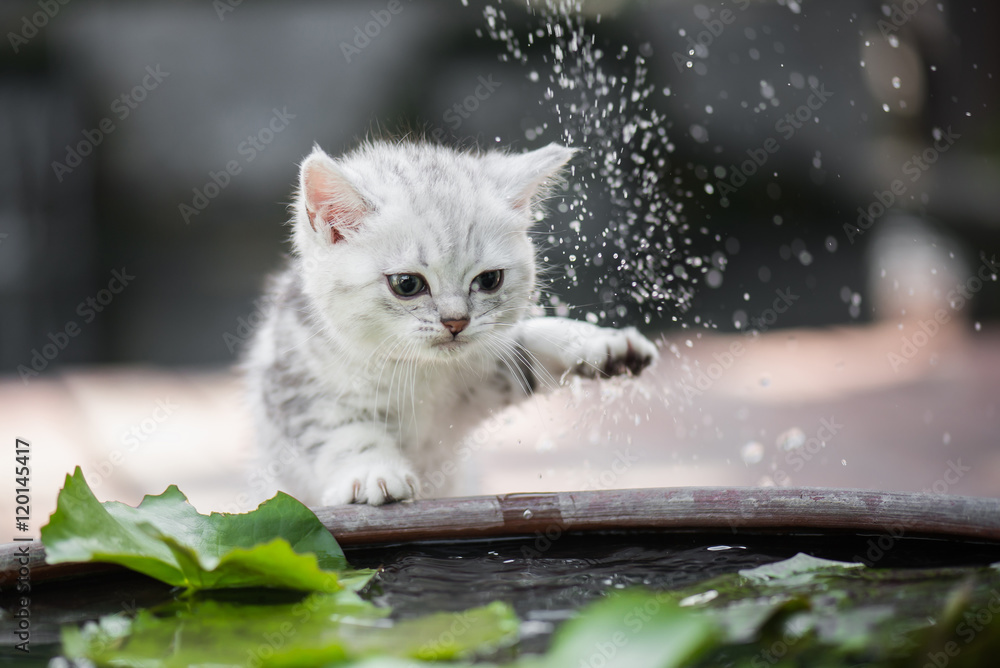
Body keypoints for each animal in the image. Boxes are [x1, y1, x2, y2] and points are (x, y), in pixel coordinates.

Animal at [246, 140, 660, 506]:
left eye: (490, 279)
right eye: (407, 284)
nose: (456, 321)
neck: (418, 373)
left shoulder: (485, 378)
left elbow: (527, 349)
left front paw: (599, 344)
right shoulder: (296, 384)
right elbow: (343, 432)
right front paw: (372, 471)